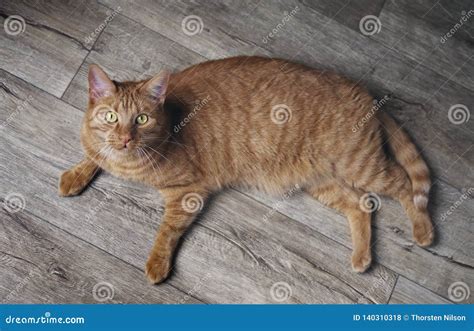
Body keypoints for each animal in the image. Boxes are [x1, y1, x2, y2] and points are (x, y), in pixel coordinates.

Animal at [59, 55, 434, 284]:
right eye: (111, 116)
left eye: (141, 119)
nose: (125, 138)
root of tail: (364, 91)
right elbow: (93, 156)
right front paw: (76, 175)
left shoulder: (188, 192)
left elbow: (167, 231)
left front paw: (157, 263)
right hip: (324, 182)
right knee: (362, 205)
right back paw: (361, 257)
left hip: (361, 165)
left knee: (404, 185)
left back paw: (423, 230)